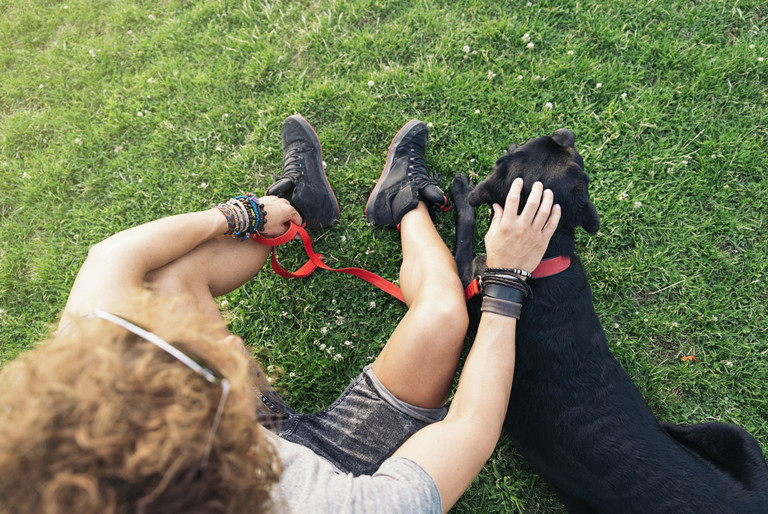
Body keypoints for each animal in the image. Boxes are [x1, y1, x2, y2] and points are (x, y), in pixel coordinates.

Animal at [450, 127, 768, 508]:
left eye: (514, 149)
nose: (565, 132)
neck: (543, 261)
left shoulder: (465, 276)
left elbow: (465, 230)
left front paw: (461, 192)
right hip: (742, 438)